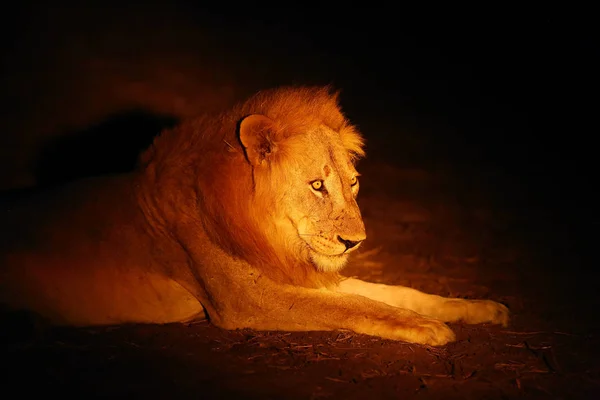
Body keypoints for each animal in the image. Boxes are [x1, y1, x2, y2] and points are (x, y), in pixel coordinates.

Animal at [0, 86, 508, 346]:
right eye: (317, 185)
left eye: (353, 183)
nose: (356, 243)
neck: (267, 234)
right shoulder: (243, 300)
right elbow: (354, 304)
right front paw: (427, 328)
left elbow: (396, 292)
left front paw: (478, 308)